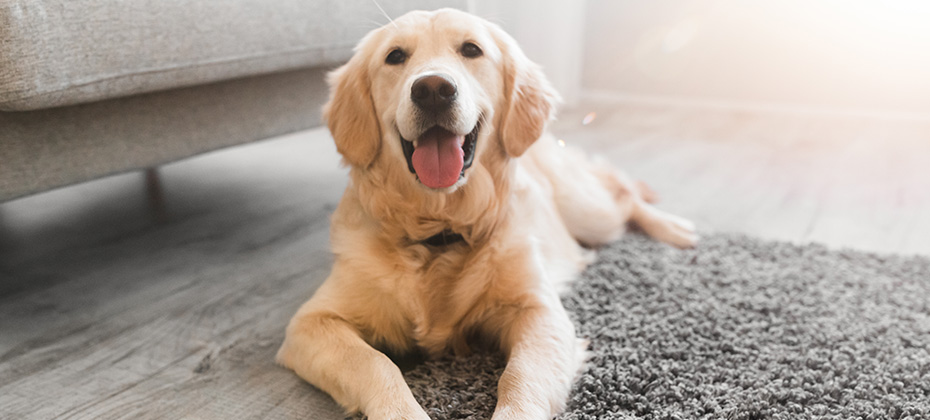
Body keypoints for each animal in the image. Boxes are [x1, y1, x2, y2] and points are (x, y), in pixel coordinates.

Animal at [276, 8, 696, 418]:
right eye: (395, 56)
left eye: (471, 49)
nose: (432, 89)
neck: (440, 229)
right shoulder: (312, 323)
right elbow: (377, 364)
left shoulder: (540, 312)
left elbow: (519, 377)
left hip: (591, 212)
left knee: (624, 195)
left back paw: (677, 229)